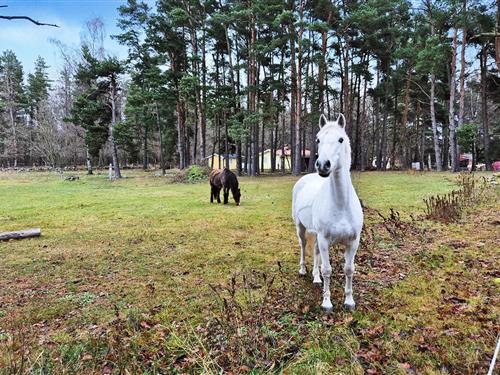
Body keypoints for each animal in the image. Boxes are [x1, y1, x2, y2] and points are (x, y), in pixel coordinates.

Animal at [292, 113, 362, 312]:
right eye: (317, 139)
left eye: (341, 139)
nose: (323, 165)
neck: (341, 206)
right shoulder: (324, 240)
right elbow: (328, 269)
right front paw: (327, 303)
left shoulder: (353, 242)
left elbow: (349, 269)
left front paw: (349, 301)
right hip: (300, 227)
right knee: (303, 245)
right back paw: (303, 270)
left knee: (315, 251)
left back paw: (316, 279)